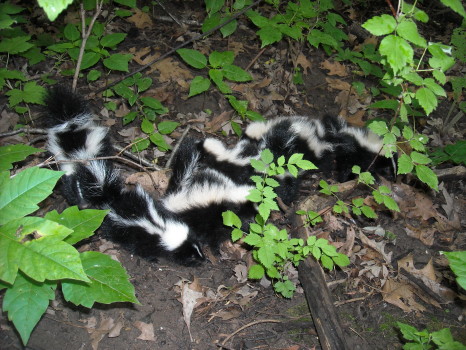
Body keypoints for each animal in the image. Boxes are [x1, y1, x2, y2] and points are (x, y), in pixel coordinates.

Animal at [45, 87, 204, 266]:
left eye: (198, 247)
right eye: (190, 255)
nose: (203, 259)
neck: (161, 228)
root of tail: (113, 198)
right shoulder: (142, 236)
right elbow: (142, 249)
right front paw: (152, 259)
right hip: (116, 225)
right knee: (111, 231)